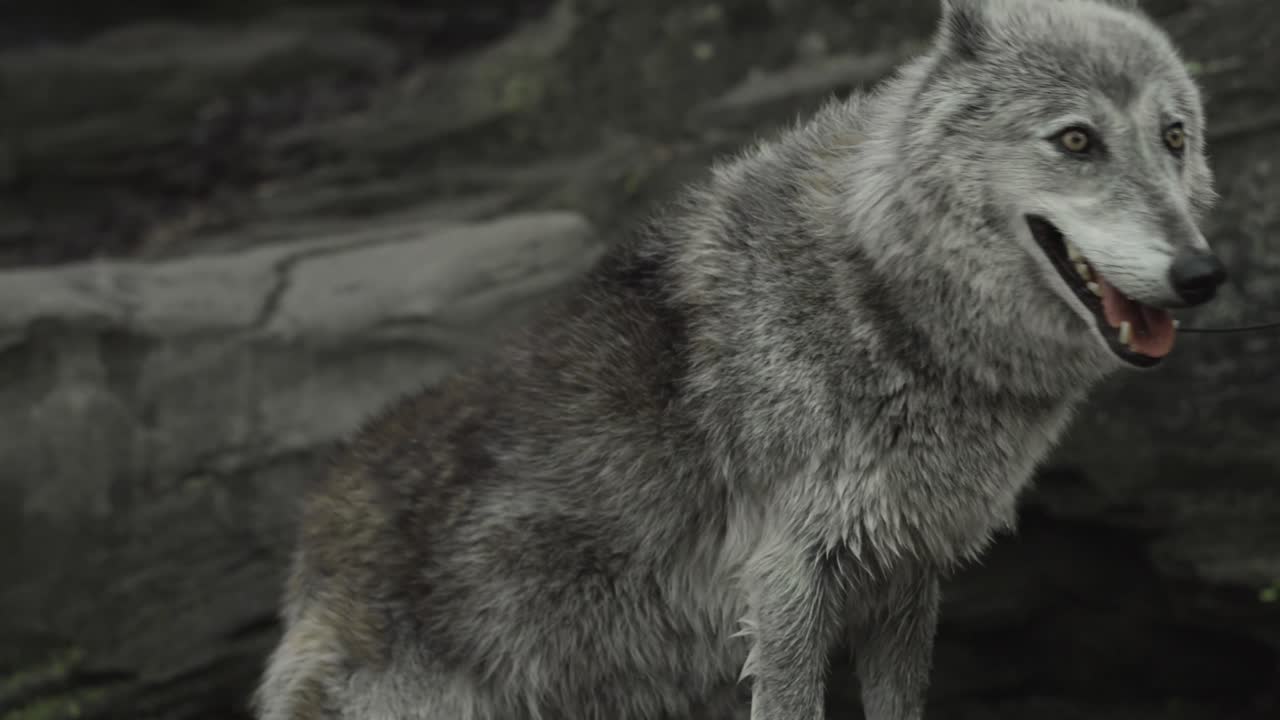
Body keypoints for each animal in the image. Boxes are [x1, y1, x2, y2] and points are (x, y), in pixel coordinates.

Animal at [253, 0, 1226, 718]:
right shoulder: (789, 582)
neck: (880, 297)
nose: (1202, 273)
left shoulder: (904, 578)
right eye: (1076, 140)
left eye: (1175, 137)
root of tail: (309, 535)